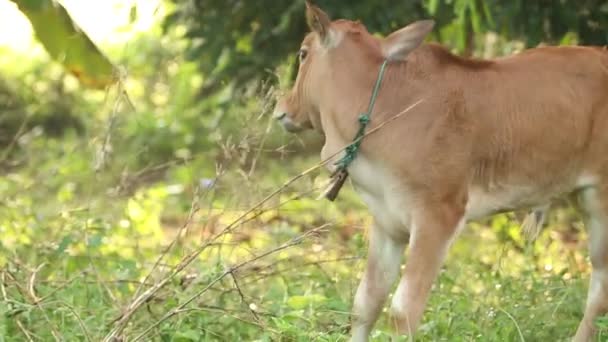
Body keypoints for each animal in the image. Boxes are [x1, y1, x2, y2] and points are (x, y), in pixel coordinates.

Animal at [274, 2, 608, 340]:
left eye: (303, 53)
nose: (282, 109)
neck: (385, 108)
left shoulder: (438, 217)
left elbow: (403, 311)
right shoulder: (387, 222)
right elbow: (365, 304)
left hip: (600, 202)